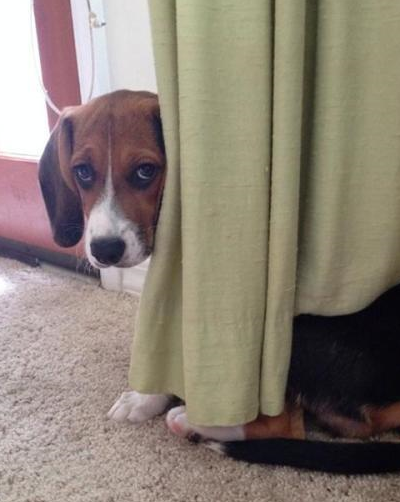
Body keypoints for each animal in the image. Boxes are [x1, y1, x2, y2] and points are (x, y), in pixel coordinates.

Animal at [39, 90, 400, 474]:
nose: (105, 249)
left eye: (145, 171)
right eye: (82, 172)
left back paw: (194, 421)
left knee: (285, 424)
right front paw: (147, 398)